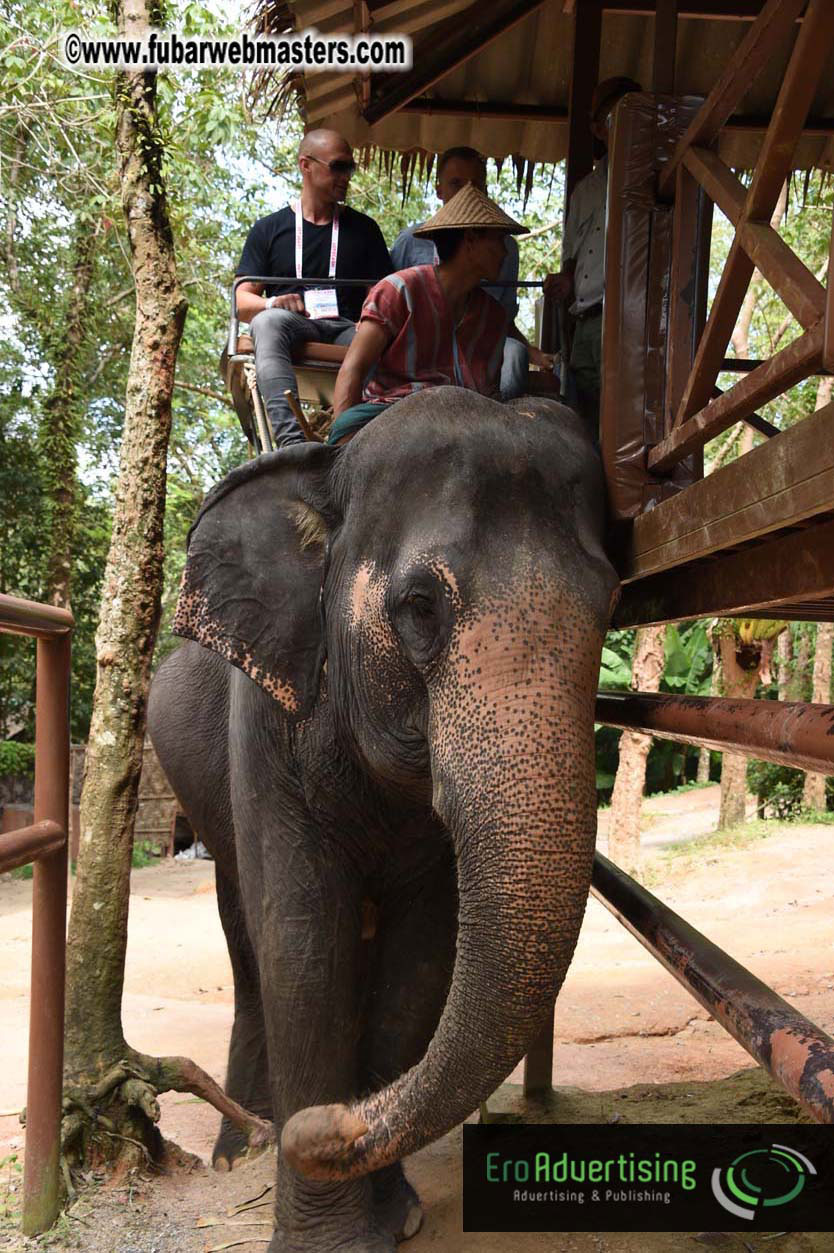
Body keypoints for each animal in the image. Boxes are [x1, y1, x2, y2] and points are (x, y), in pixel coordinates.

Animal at [147, 387, 618, 1253]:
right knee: (246, 943)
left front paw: (393, 1214)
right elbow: (303, 944)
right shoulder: (265, 724)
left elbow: (420, 957)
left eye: (612, 602)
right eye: (420, 606)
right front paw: (325, 1235)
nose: (322, 1127)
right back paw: (240, 1151)